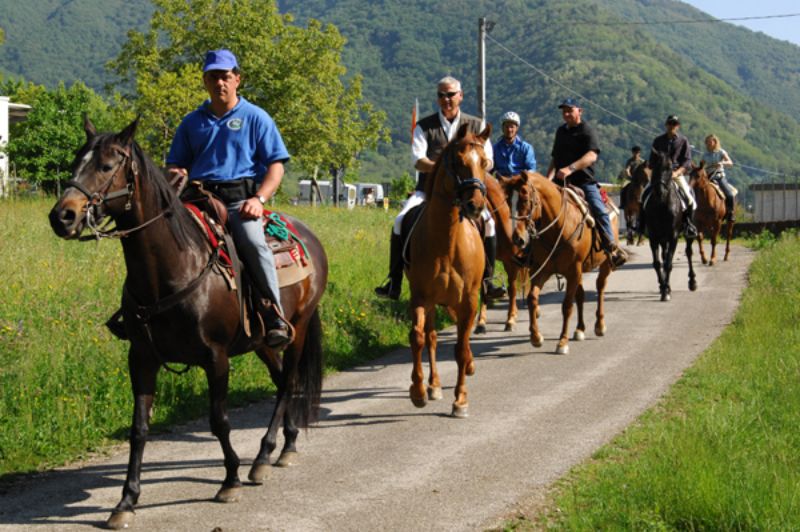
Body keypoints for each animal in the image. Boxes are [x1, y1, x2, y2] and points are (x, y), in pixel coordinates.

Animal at [48, 118, 328, 528]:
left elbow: (219, 421)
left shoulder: (216, 358)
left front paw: (229, 481)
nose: (62, 216)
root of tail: (307, 236)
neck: (172, 268)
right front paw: (126, 501)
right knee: (282, 382)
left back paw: (264, 456)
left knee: (289, 381)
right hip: (262, 342)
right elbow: (139, 429)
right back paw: (282, 446)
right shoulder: (142, 358)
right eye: (74, 162)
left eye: (106, 165)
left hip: (298, 329)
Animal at [410, 122, 490, 418]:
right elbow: (419, 338)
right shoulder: (421, 297)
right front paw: (418, 391)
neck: (446, 240)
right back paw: (433, 386)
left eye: (485, 163)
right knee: (432, 337)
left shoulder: (468, 299)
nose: (475, 205)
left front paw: (461, 400)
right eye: (459, 162)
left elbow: (460, 348)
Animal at [510, 170, 616, 354]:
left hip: (604, 265)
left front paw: (562, 342)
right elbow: (532, 299)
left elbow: (567, 305)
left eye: (527, 200)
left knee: (600, 288)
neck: (557, 229)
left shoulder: (573, 270)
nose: (518, 238)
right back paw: (579, 329)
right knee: (580, 295)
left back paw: (599, 325)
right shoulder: (542, 270)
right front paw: (536, 337)